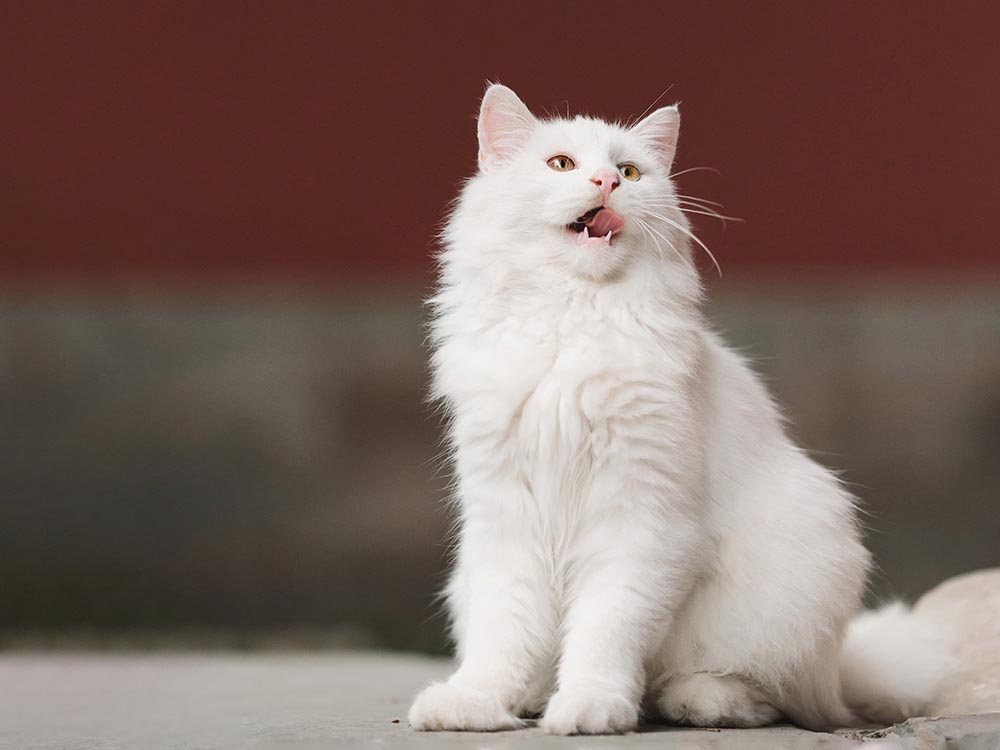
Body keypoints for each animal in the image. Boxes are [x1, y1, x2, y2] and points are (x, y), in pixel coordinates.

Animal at [408, 85, 952, 736]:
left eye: (628, 172)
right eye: (562, 164)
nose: (605, 182)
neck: (571, 320)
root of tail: (839, 675)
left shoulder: (639, 517)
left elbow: (605, 632)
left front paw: (591, 706)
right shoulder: (506, 514)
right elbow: (504, 633)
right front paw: (478, 702)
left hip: (795, 569)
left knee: (762, 692)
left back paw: (696, 700)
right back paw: (538, 698)